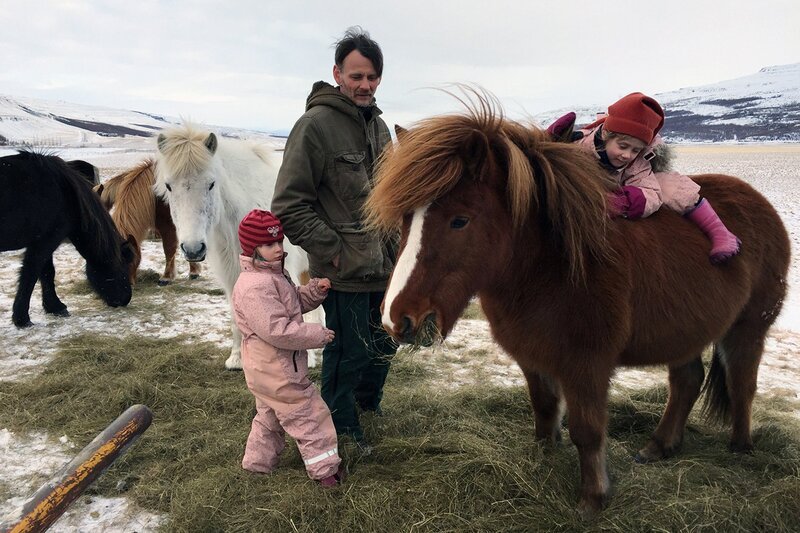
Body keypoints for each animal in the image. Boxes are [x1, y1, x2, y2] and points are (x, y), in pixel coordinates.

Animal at [0, 151, 134, 327]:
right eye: (124, 265)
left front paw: (54, 306)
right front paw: (22, 318)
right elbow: (30, 274)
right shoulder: (46, 241)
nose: (126, 299)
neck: (65, 193)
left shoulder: (42, 241)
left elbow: (47, 272)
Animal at [154, 123, 316, 370]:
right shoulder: (231, 275)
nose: (193, 249)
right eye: (169, 186)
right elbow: (235, 314)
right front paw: (237, 358)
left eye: (211, 184)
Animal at [364, 94, 790, 516]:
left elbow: (587, 431)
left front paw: (592, 498)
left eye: (460, 220)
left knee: (742, 384)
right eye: (406, 217)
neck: (549, 266)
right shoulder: (533, 357)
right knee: (687, 382)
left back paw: (740, 448)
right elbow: (544, 409)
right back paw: (660, 445)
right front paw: (542, 458)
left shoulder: (587, 365)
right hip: (685, 330)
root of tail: (760, 203)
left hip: (748, 328)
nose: (397, 319)